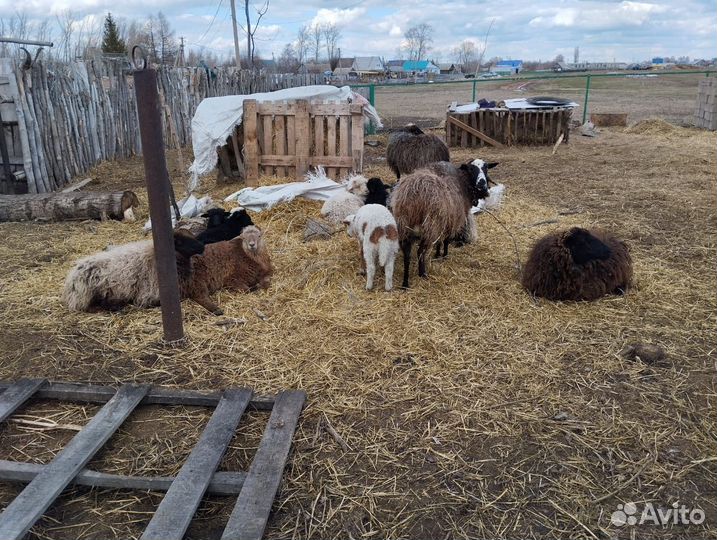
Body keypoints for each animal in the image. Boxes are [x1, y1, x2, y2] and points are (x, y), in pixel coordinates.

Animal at [391, 159, 492, 288]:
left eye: (486, 168)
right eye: (471, 169)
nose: (482, 184)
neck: (462, 183)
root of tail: (412, 193)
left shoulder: (443, 222)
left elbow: (439, 241)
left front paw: (437, 254)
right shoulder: (450, 221)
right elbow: (446, 240)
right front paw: (444, 255)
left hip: (404, 224)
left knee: (407, 254)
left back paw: (405, 283)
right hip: (430, 226)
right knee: (420, 251)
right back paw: (422, 273)